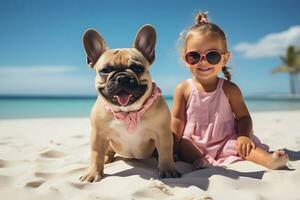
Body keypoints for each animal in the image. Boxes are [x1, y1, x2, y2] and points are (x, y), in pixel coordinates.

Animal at [79, 24, 180, 182]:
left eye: (138, 68)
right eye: (105, 70)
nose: (122, 78)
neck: (128, 112)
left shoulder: (163, 133)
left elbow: (165, 151)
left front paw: (168, 169)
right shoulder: (98, 135)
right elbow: (96, 154)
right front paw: (93, 173)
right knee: (107, 152)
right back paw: (107, 159)